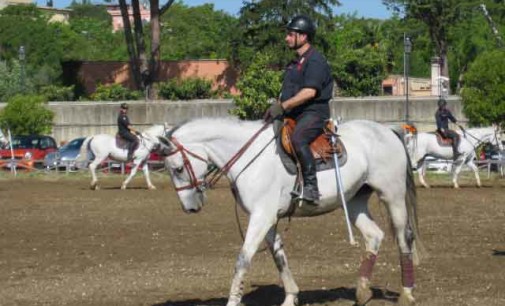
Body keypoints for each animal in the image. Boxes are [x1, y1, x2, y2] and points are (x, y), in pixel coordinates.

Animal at [160, 117, 422, 306]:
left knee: (404, 238)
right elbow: (278, 257)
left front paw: (233, 301)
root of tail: (387, 131)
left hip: (393, 196)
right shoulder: (268, 219)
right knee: (374, 235)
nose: (189, 207)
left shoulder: (261, 217)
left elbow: (243, 259)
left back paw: (407, 293)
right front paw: (291, 297)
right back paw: (362, 291)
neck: (250, 157)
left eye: (178, 168)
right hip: (355, 201)